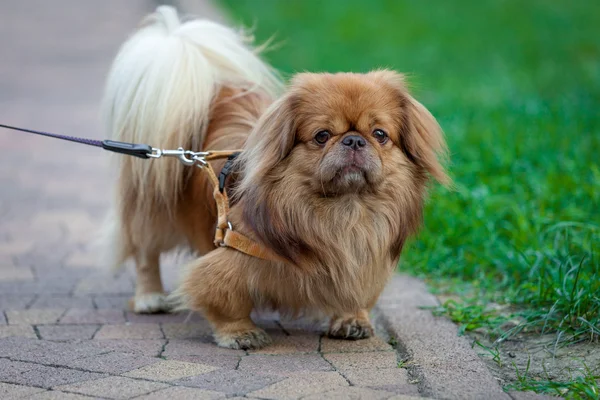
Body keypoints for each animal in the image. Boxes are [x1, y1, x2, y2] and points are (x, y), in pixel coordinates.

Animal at [102, 6, 450, 350]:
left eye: (379, 134)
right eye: (322, 136)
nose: (353, 140)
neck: (344, 212)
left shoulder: (362, 265)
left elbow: (356, 294)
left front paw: (352, 319)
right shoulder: (224, 263)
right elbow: (223, 300)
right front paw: (240, 333)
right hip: (151, 207)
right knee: (145, 252)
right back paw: (150, 297)